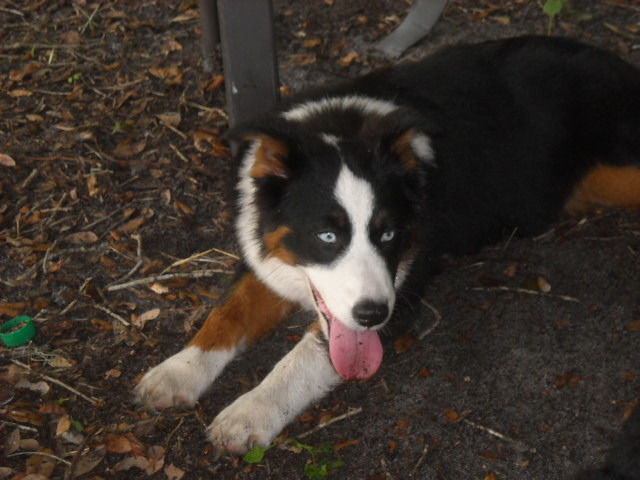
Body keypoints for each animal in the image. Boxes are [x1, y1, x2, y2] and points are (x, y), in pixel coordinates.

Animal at [135, 36, 640, 457]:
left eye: (389, 234)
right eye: (327, 236)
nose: (373, 315)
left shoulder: (399, 290)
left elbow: (302, 358)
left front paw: (249, 411)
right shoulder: (268, 261)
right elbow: (227, 312)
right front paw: (177, 372)